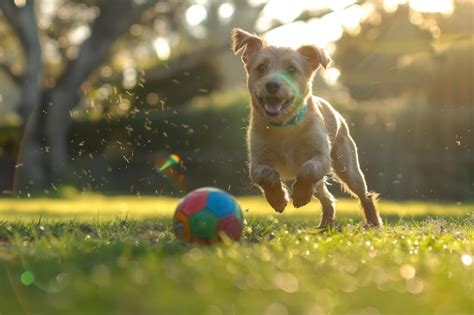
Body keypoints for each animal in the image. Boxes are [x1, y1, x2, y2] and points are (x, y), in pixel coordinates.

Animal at [231, 28, 384, 228]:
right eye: (261, 68)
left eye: (291, 69)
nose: (272, 84)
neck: (284, 126)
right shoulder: (257, 162)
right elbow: (266, 175)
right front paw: (278, 199)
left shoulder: (322, 157)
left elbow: (308, 170)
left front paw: (300, 195)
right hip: (323, 181)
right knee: (328, 198)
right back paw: (326, 225)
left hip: (347, 166)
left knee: (364, 194)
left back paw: (373, 223)